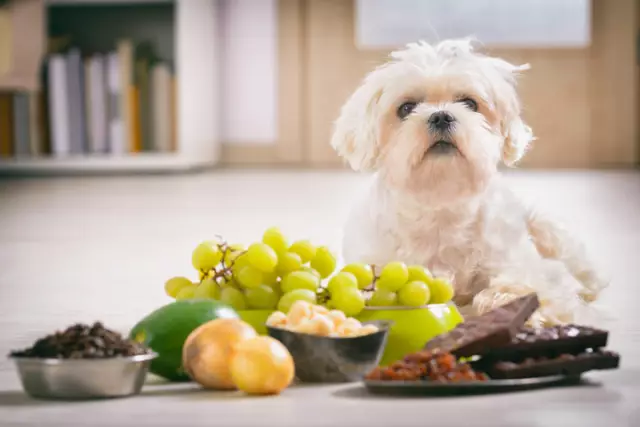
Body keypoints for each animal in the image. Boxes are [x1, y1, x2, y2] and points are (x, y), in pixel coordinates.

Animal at [332, 40, 608, 328]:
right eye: (406, 108)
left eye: (469, 103)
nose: (441, 116)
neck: (440, 201)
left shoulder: (518, 263)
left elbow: (527, 286)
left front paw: (509, 302)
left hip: (548, 228)